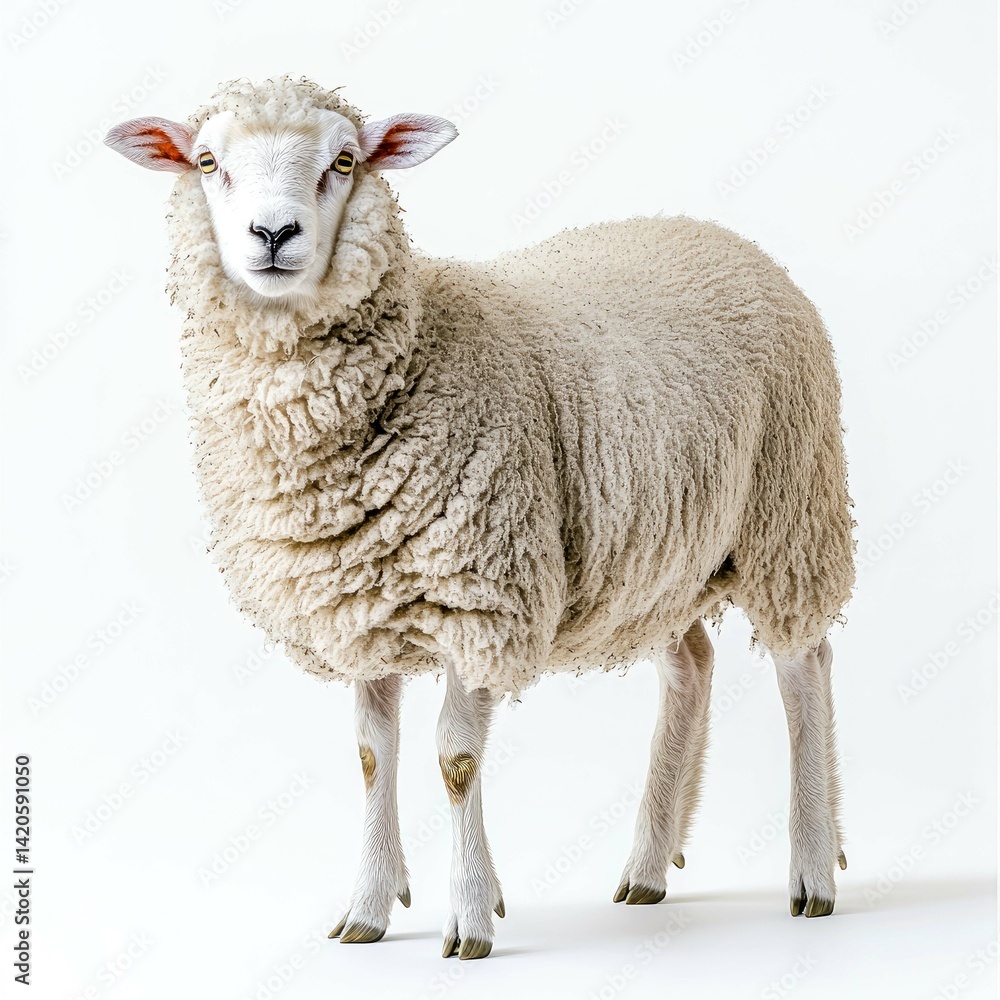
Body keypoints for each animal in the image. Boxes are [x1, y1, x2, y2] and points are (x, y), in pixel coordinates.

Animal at [105, 75, 855, 960]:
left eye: (345, 160)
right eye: (207, 160)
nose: (274, 234)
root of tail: (716, 233)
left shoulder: (481, 590)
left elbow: (456, 760)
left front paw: (468, 915)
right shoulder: (358, 602)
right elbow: (372, 756)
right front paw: (368, 907)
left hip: (790, 511)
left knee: (803, 667)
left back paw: (812, 870)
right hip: (659, 554)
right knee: (691, 668)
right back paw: (647, 867)